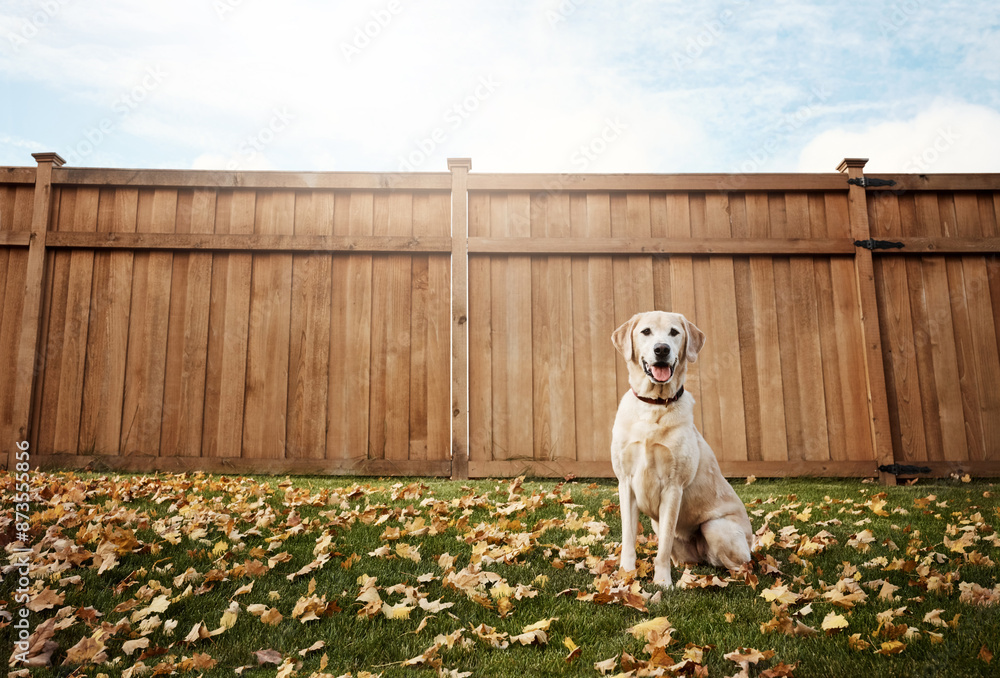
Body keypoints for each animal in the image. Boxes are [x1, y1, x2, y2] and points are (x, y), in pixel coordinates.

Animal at [608, 310, 752, 588]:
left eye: (674, 332)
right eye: (646, 331)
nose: (662, 349)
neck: (653, 406)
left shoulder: (673, 488)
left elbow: (663, 546)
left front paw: (662, 583)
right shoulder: (626, 484)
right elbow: (629, 538)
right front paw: (626, 575)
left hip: (716, 528)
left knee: (741, 566)